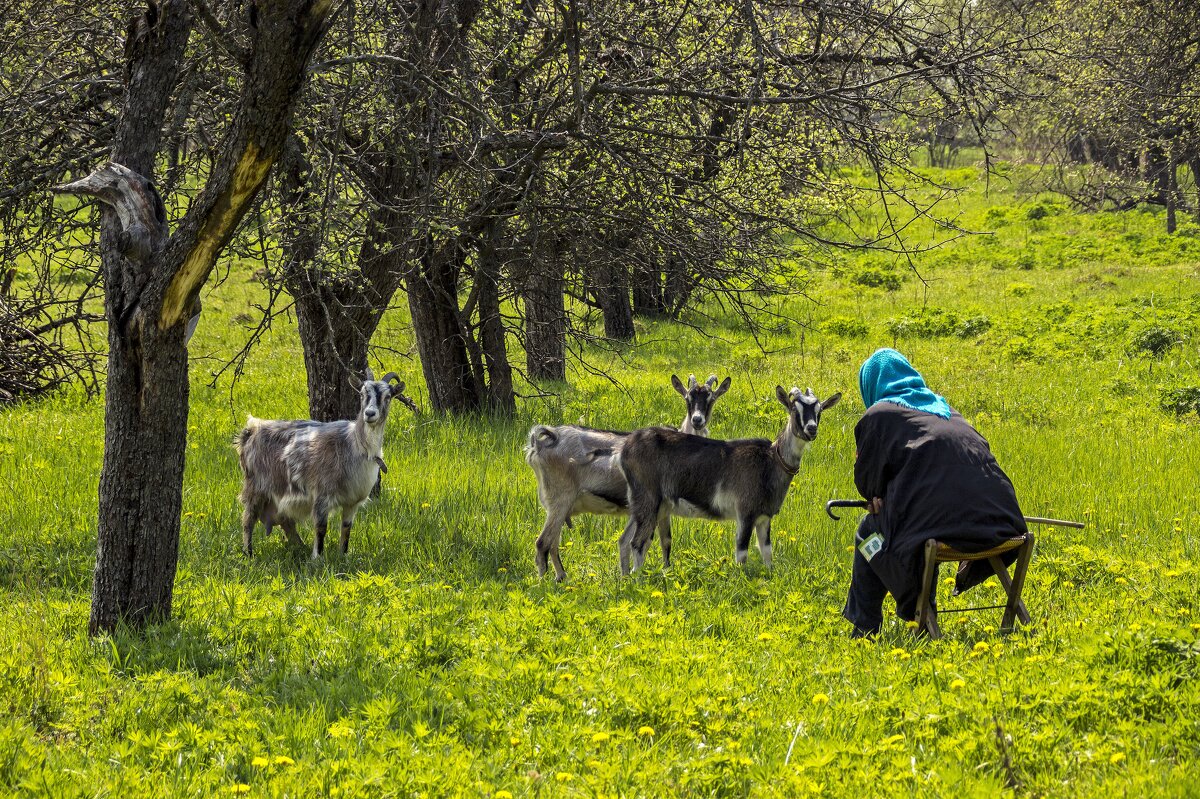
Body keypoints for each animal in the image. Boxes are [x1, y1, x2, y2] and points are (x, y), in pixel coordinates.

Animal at [231, 364, 415, 554]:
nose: (370, 413)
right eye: (362, 394)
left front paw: (343, 555)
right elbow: (321, 528)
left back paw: (300, 546)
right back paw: (249, 553)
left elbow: (346, 528)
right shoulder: (321, 495)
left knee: (286, 521)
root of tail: (251, 430)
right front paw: (317, 557)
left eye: (388, 396)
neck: (355, 446)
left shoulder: (352, 502)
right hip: (256, 487)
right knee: (248, 519)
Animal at [525, 369, 729, 583]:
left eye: (711, 398)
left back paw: (561, 577)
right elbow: (649, 542)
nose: (697, 420)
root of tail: (542, 441)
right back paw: (544, 582)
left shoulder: (650, 511)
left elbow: (645, 541)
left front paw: (628, 576)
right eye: (688, 398)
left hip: (559, 506)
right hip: (560, 499)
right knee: (542, 543)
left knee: (553, 543)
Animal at [619, 383, 844, 573]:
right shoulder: (745, 511)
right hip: (648, 498)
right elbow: (742, 553)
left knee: (626, 540)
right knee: (637, 543)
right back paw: (637, 581)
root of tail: (626, 447)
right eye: (794, 409)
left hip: (645, 505)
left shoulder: (764, 516)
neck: (770, 462)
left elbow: (767, 551)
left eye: (819, 411)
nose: (811, 429)